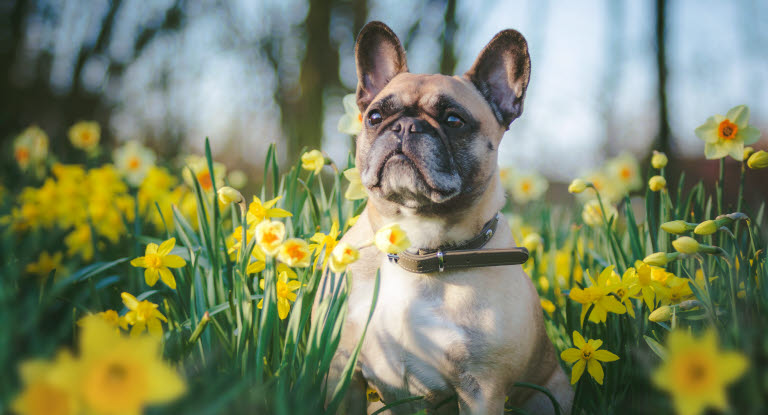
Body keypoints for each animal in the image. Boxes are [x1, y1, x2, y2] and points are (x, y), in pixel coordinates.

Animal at [316, 21, 572, 414]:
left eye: (454, 121)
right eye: (375, 117)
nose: (405, 126)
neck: (415, 247)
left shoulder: (482, 390)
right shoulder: (342, 371)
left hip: (550, 394)